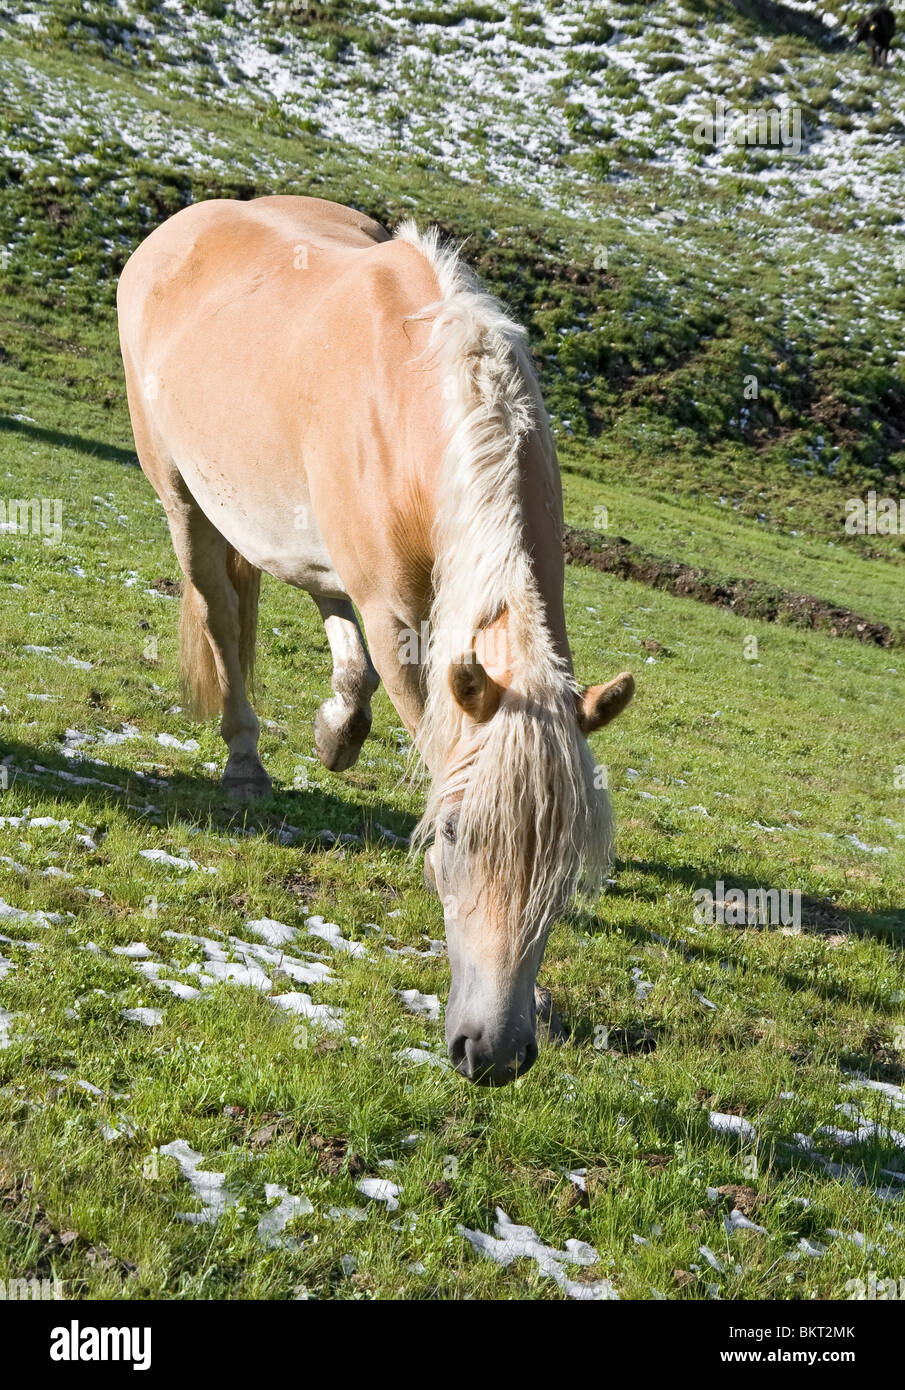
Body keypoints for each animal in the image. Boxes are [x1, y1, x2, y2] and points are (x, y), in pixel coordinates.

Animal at [116, 195, 633, 1084]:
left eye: (568, 864)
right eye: (456, 838)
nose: (495, 1053)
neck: (420, 397)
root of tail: (180, 225)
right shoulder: (398, 623)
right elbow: (433, 742)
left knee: (317, 600)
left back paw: (336, 729)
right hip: (182, 502)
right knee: (222, 615)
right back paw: (246, 760)